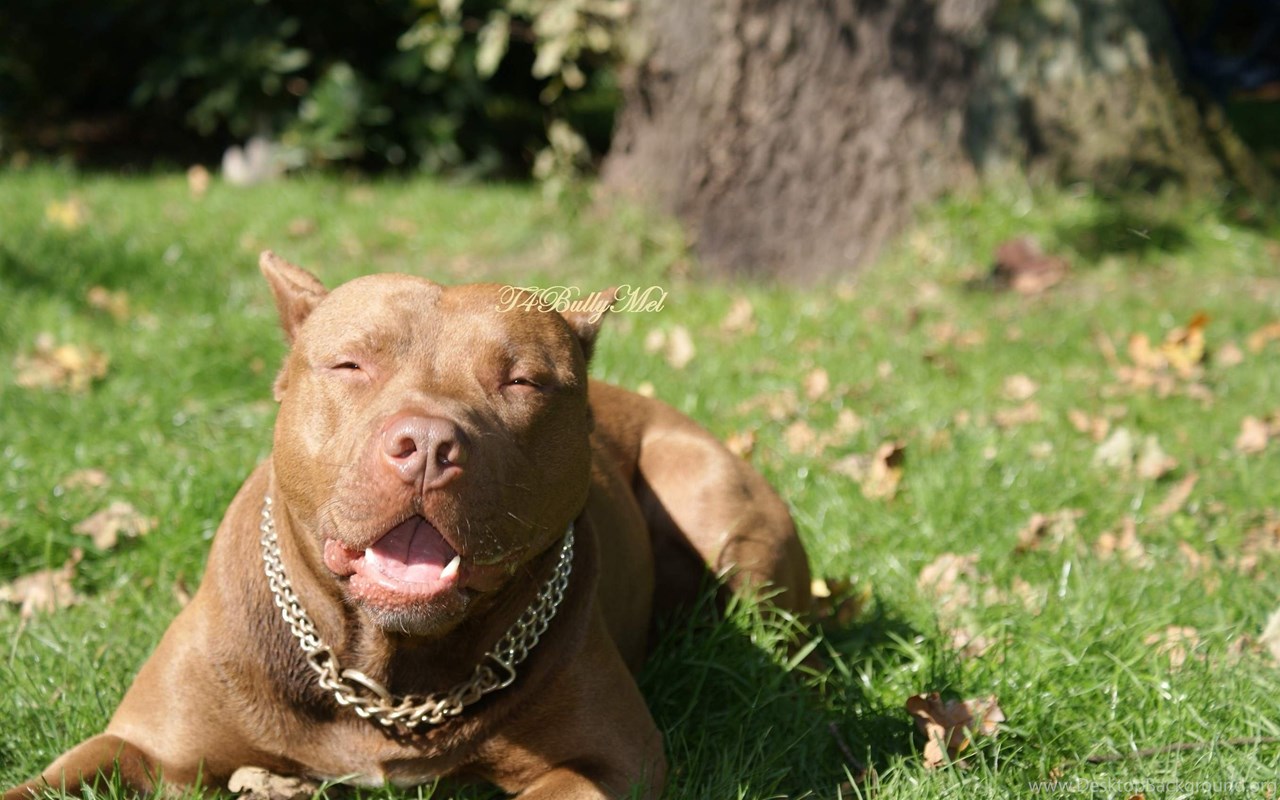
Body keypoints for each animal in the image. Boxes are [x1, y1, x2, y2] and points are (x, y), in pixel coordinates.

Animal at [5, 252, 810, 799]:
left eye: (522, 381)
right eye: (350, 365)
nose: (427, 444)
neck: (385, 676)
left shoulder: (609, 761)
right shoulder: (142, 747)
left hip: (718, 509)